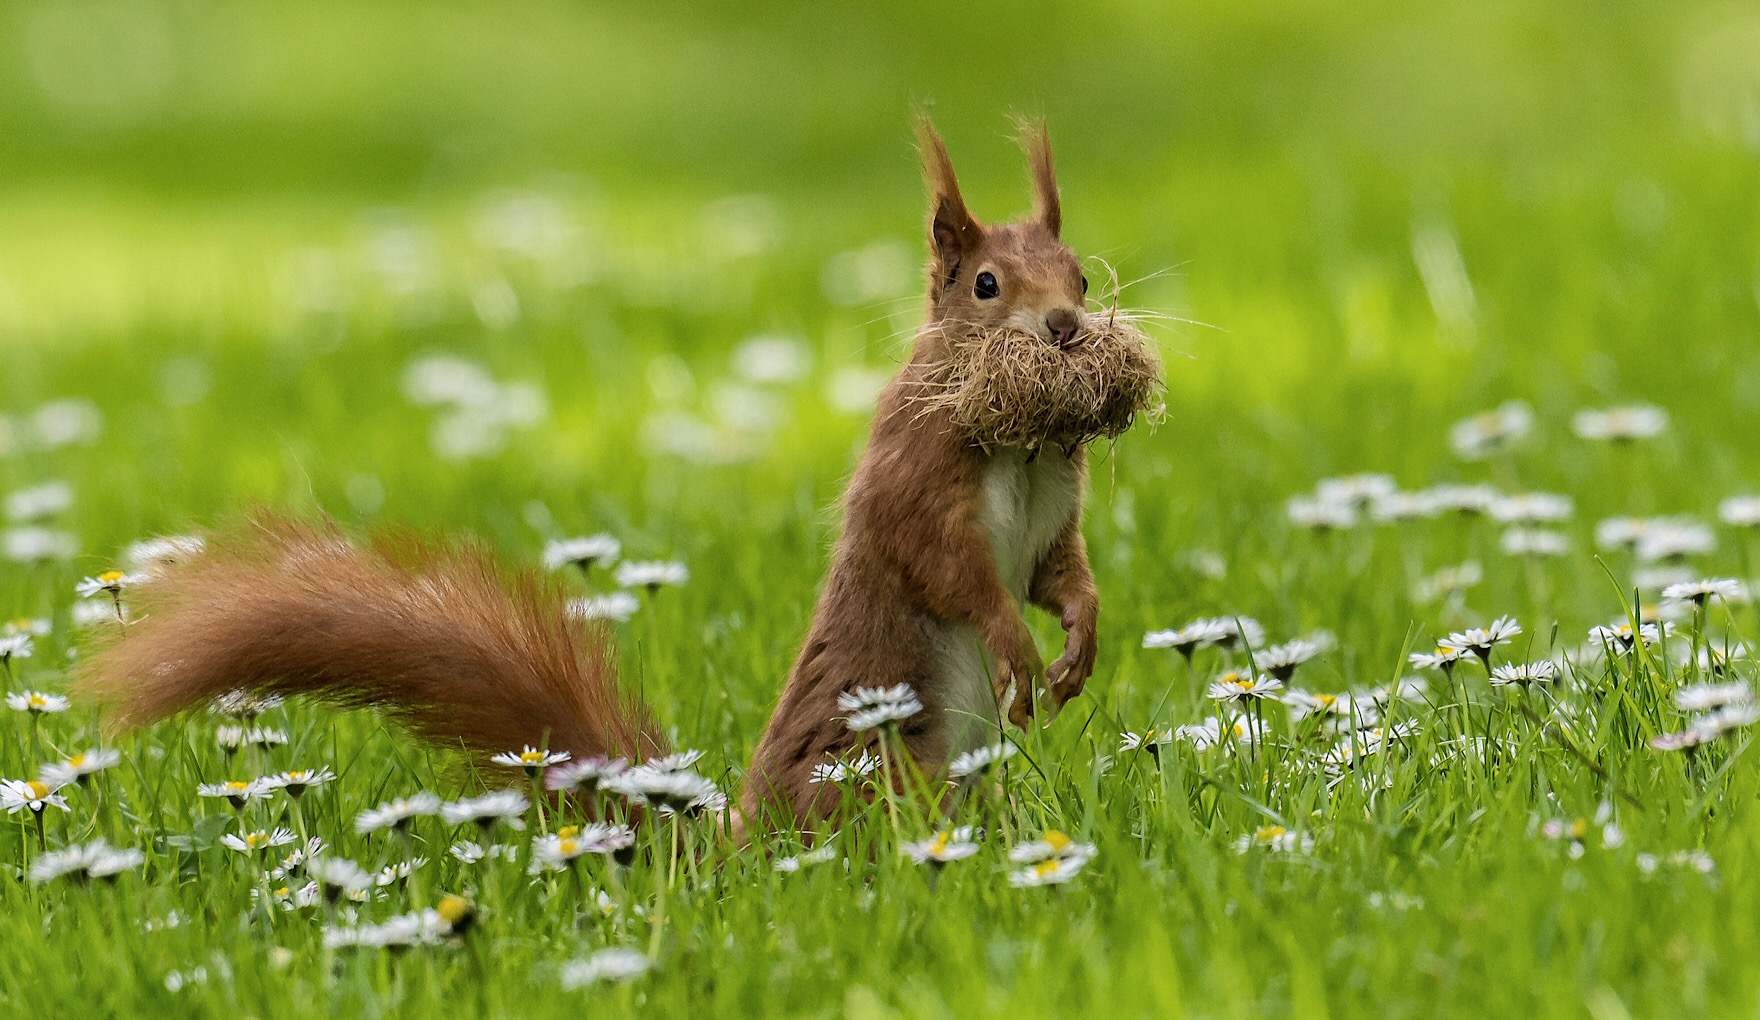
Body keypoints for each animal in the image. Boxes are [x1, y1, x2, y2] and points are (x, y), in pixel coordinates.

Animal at [82, 119, 1161, 833]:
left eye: (1080, 275)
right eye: (984, 286)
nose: (1065, 328)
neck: (1019, 443)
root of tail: (739, 855)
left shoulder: (1053, 514)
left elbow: (1059, 574)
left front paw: (1078, 642)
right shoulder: (915, 482)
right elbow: (952, 573)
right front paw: (1016, 647)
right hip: (884, 764)